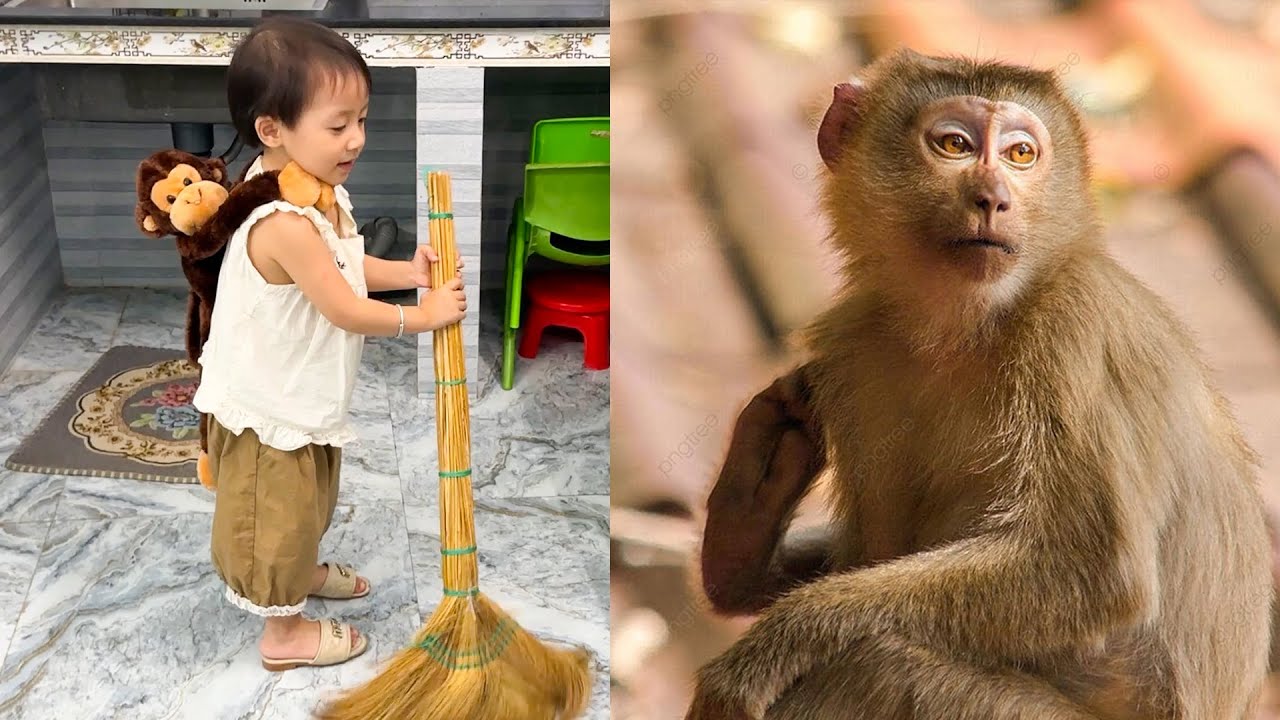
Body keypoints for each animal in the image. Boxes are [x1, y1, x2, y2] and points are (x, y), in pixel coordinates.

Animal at [686, 48, 1274, 720]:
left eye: (1021, 154)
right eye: (954, 144)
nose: (993, 198)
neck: (967, 326)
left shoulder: (1071, 326)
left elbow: (1093, 574)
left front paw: (773, 646)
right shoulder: (856, 346)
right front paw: (747, 531)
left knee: (875, 662)